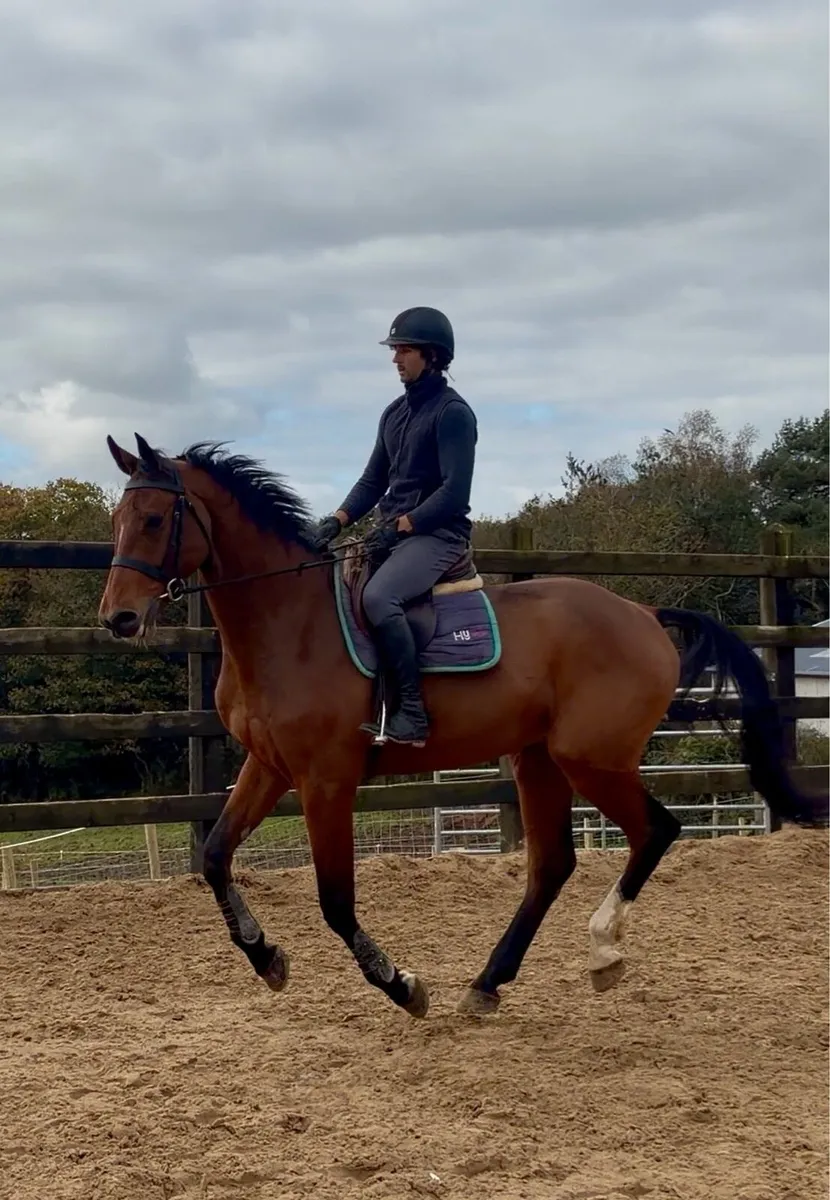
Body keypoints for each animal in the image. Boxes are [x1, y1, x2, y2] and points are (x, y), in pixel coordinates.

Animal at [97, 434, 827, 1019]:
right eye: (117, 519)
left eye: (156, 518)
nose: (118, 619)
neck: (289, 624)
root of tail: (642, 613)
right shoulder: (270, 766)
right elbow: (215, 857)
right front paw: (266, 957)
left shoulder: (326, 780)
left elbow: (335, 900)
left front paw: (401, 985)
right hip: (538, 759)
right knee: (552, 865)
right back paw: (488, 983)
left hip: (590, 758)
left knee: (656, 831)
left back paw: (601, 951)